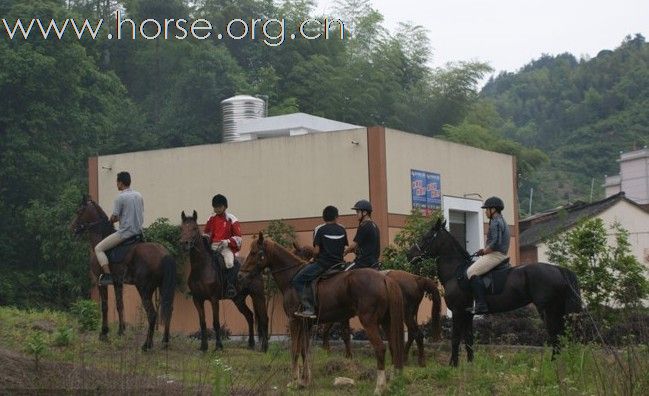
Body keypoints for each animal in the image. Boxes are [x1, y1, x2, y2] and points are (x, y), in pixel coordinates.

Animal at [71, 194, 175, 350]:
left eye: (79, 211)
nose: (71, 228)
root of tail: (164, 253)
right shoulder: (117, 282)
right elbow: (120, 305)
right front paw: (121, 331)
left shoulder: (101, 282)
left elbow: (105, 306)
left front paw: (104, 333)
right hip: (162, 287)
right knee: (168, 310)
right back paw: (165, 342)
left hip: (144, 289)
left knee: (152, 314)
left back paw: (146, 345)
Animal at [178, 212, 268, 352]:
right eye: (181, 228)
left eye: (194, 228)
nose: (184, 244)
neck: (202, 268)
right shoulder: (197, 299)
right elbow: (202, 323)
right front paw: (203, 347)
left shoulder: (214, 299)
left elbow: (216, 323)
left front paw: (218, 346)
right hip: (238, 300)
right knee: (249, 316)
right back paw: (251, 344)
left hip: (258, 296)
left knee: (263, 318)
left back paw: (264, 347)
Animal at [243, 234, 404, 394]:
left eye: (254, 252)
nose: (242, 273)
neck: (292, 277)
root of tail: (384, 278)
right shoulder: (306, 324)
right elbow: (304, 350)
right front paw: (304, 381)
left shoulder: (294, 321)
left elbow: (295, 350)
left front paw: (294, 381)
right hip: (386, 322)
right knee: (393, 347)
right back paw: (392, 383)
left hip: (369, 322)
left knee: (380, 348)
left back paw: (379, 387)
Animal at [292, 244, 440, 368]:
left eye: (297, 253)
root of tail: (417, 279)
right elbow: (333, 331)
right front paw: (333, 352)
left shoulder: (339, 314)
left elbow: (340, 333)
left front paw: (339, 353)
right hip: (409, 313)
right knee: (412, 334)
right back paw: (405, 358)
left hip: (405, 314)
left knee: (416, 334)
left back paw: (419, 361)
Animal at [404, 218, 584, 366]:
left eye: (426, 237)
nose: (408, 255)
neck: (455, 272)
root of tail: (558, 269)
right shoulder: (468, 314)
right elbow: (468, 339)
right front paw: (470, 365)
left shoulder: (458, 311)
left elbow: (455, 339)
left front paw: (453, 366)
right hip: (556, 310)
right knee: (559, 337)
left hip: (547, 310)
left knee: (555, 337)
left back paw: (554, 366)